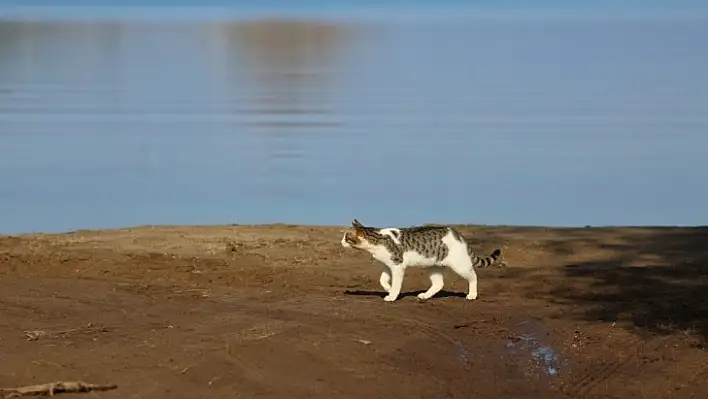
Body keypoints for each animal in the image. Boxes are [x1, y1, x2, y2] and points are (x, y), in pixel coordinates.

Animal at [338, 220, 500, 302]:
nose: (340, 242)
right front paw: (389, 290)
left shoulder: (398, 265)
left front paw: (393, 295)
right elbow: (382, 280)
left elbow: (396, 283)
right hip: (433, 265)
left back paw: (472, 294)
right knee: (438, 284)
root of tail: (457, 234)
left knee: (473, 276)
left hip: (459, 264)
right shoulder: (388, 265)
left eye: (346, 237)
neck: (376, 240)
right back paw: (425, 296)